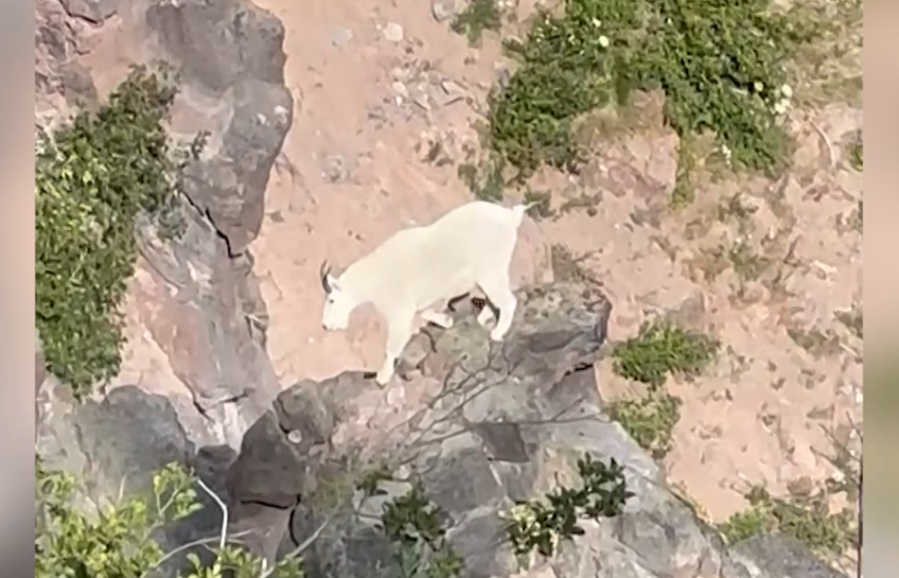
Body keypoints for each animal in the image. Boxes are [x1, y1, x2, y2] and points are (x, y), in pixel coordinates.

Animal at [320, 200, 536, 384]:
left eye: (331, 300)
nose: (325, 325)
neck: (375, 276)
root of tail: (510, 217)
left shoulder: (400, 310)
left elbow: (393, 344)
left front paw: (382, 377)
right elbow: (426, 313)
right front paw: (446, 321)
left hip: (490, 269)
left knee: (507, 300)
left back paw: (497, 333)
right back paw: (484, 318)